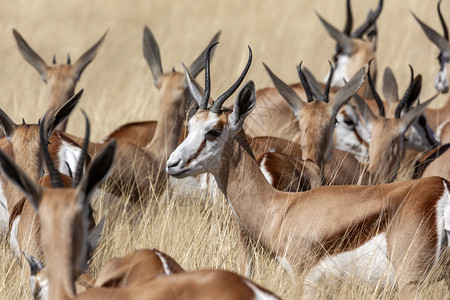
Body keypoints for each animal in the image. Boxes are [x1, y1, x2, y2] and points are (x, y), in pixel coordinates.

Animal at [167, 45, 450, 296]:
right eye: (190, 124)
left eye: (214, 131)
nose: (172, 164)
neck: (280, 209)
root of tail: (441, 190)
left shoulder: (302, 279)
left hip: (410, 283)